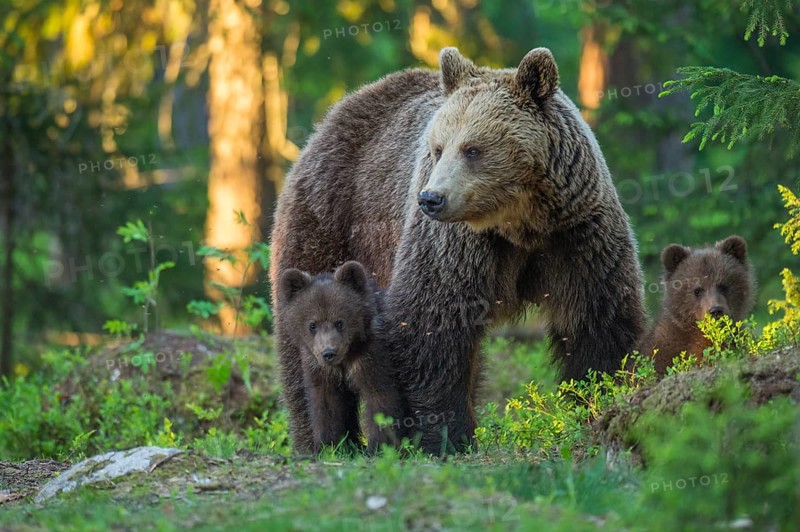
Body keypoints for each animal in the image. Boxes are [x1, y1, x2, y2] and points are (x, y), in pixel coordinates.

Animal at [276, 261, 405, 453]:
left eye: (340, 322)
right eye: (312, 325)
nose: (329, 353)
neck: (346, 358)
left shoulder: (371, 355)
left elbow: (380, 396)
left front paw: (378, 446)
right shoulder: (318, 367)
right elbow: (327, 405)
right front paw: (329, 445)